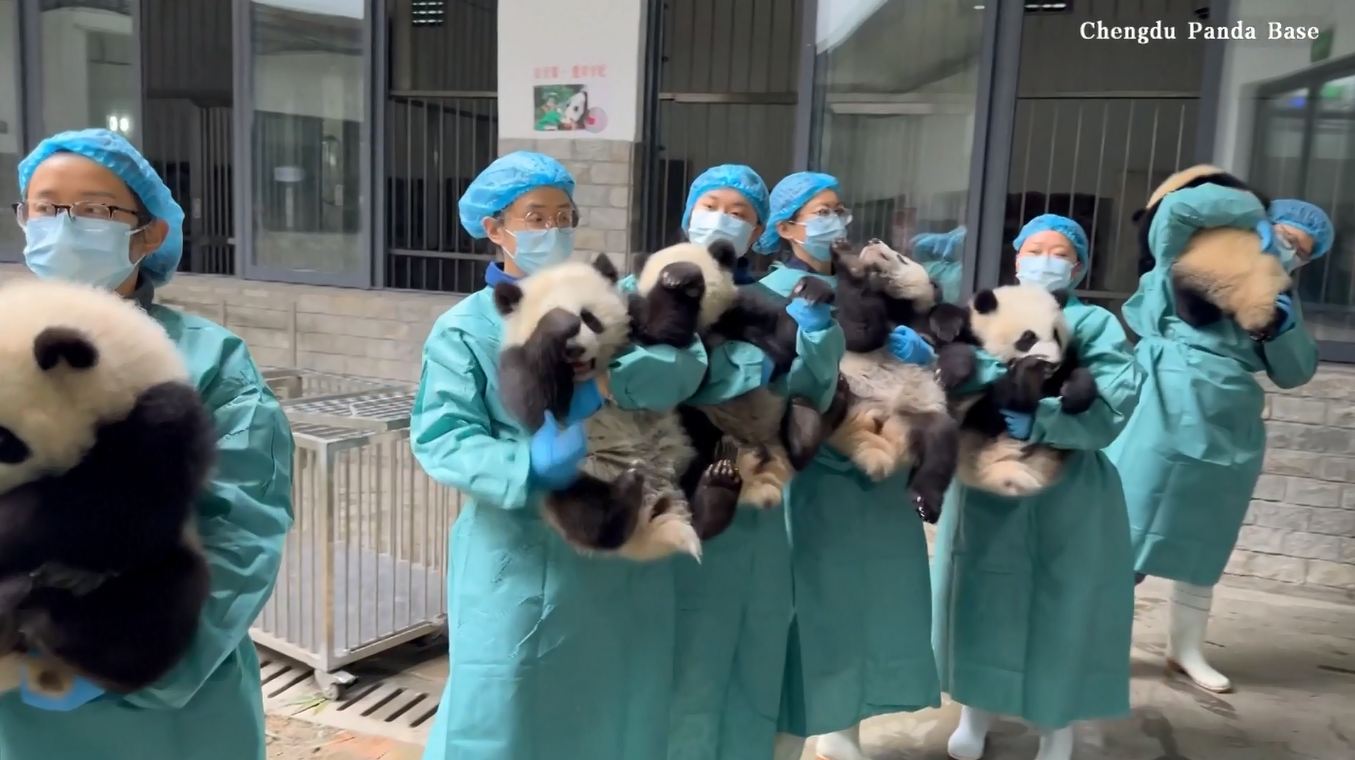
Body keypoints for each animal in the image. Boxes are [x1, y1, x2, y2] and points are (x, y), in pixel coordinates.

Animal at [494, 255, 743, 561]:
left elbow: (667, 337)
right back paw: (625, 495)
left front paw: (678, 276)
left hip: (684, 435)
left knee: (702, 449)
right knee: (583, 511)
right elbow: (535, 401)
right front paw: (555, 324)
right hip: (569, 472)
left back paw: (719, 482)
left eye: (589, 318)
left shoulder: (634, 322)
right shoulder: (516, 359)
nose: (573, 349)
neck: (589, 377)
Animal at [628, 240, 835, 509]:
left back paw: (804, 427)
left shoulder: (742, 309)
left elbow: (784, 343)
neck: (707, 325)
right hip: (698, 427)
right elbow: (666, 350)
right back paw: (712, 493)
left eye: (699, 286)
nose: (684, 285)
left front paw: (811, 290)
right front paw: (675, 277)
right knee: (696, 450)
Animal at [826, 238, 962, 522]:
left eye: (901, 257)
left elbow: (950, 339)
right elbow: (858, 333)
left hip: (914, 416)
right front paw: (851, 263)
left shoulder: (923, 323)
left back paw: (924, 502)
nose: (873, 241)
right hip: (847, 391)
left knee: (940, 443)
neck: (896, 306)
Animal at [935, 285, 1099, 497]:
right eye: (1028, 338)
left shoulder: (1062, 367)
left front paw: (1074, 394)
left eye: (1056, 335)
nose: (1051, 363)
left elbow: (1076, 371)